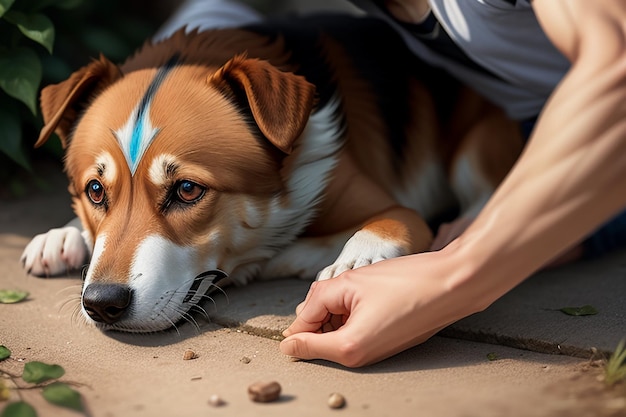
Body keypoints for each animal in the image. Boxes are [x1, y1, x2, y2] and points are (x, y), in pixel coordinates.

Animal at [20, 14, 520, 332]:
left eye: (187, 190)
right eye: (95, 191)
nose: (102, 304)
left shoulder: (396, 210)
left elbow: (386, 225)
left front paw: (351, 264)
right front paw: (63, 235)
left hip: (476, 145)